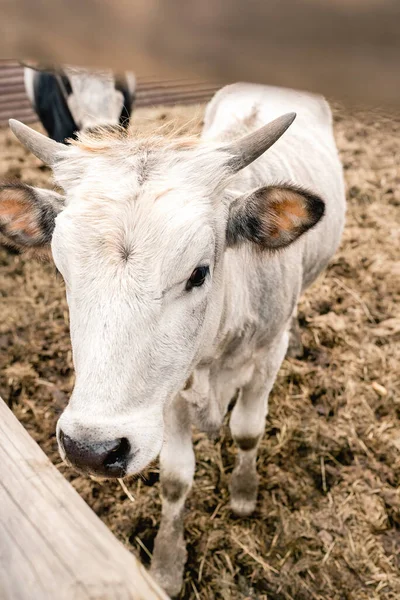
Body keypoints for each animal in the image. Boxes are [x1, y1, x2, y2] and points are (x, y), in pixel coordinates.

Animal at [0, 83, 344, 596]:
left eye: (198, 272)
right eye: (62, 271)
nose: (90, 449)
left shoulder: (267, 356)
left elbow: (248, 430)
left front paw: (244, 494)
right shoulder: (168, 392)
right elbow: (176, 479)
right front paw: (167, 560)